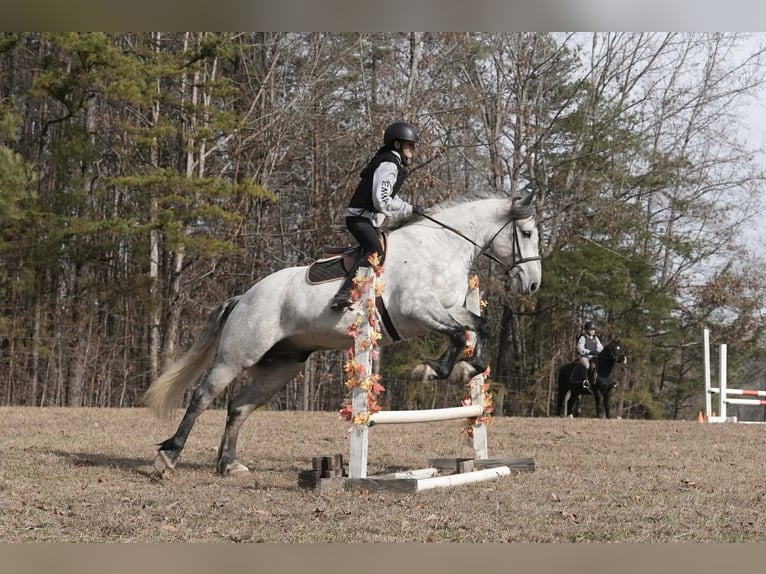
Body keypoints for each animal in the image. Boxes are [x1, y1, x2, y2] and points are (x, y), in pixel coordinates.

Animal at [143, 192, 542, 476]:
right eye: (526, 233)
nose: (533, 284)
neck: (442, 248)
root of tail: (244, 297)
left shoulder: (448, 308)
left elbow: (479, 327)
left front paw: (466, 368)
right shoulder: (420, 310)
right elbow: (459, 335)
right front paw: (432, 370)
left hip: (281, 367)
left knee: (238, 407)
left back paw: (229, 465)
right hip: (237, 355)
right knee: (202, 397)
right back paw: (168, 458)